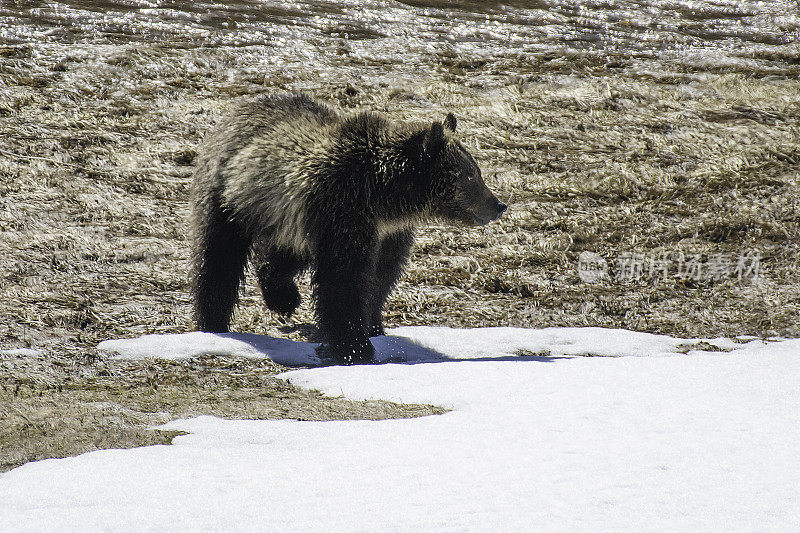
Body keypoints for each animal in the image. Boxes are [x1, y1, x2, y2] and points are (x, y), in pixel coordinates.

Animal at [189, 93, 506, 364]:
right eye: (469, 175)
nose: (498, 205)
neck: (384, 198)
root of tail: (238, 109)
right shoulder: (345, 213)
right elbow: (343, 280)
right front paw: (355, 347)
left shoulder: (387, 233)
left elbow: (380, 276)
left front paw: (373, 326)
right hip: (230, 199)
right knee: (217, 259)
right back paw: (212, 321)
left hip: (288, 219)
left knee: (282, 255)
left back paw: (283, 297)